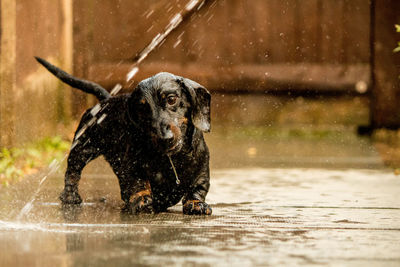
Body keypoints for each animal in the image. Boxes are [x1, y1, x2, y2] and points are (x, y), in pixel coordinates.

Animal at [36, 57, 214, 217]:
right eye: (142, 108)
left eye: (171, 99)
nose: (164, 138)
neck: (171, 159)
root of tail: (106, 100)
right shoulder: (132, 167)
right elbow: (137, 182)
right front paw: (141, 199)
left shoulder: (202, 172)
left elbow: (197, 188)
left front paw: (197, 204)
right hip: (83, 147)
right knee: (72, 171)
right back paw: (70, 196)